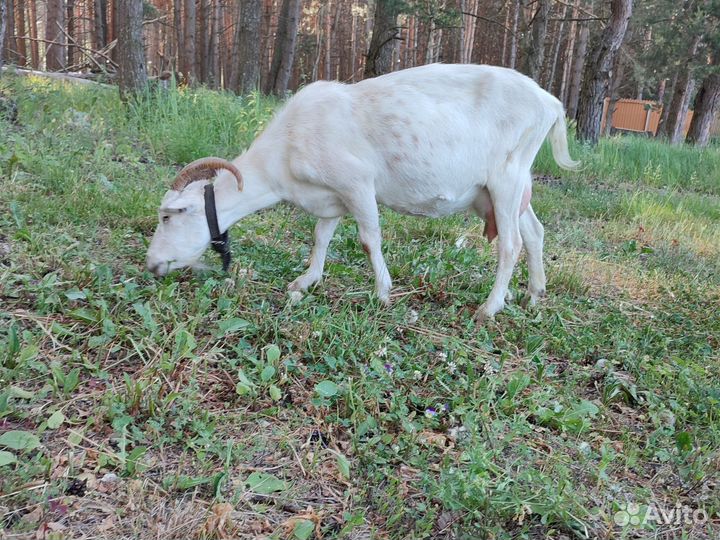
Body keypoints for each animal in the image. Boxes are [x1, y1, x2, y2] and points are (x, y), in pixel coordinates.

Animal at [145, 63, 579, 320]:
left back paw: (489, 308)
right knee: (534, 233)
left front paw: (383, 293)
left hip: (506, 179)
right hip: (507, 188)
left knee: (510, 244)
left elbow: (370, 239)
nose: (151, 265)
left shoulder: (357, 183)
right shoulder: (332, 195)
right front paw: (305, 281)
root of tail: (550, 103)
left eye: (168, 215)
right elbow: (320, 236)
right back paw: (534, 293)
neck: (285, 151)